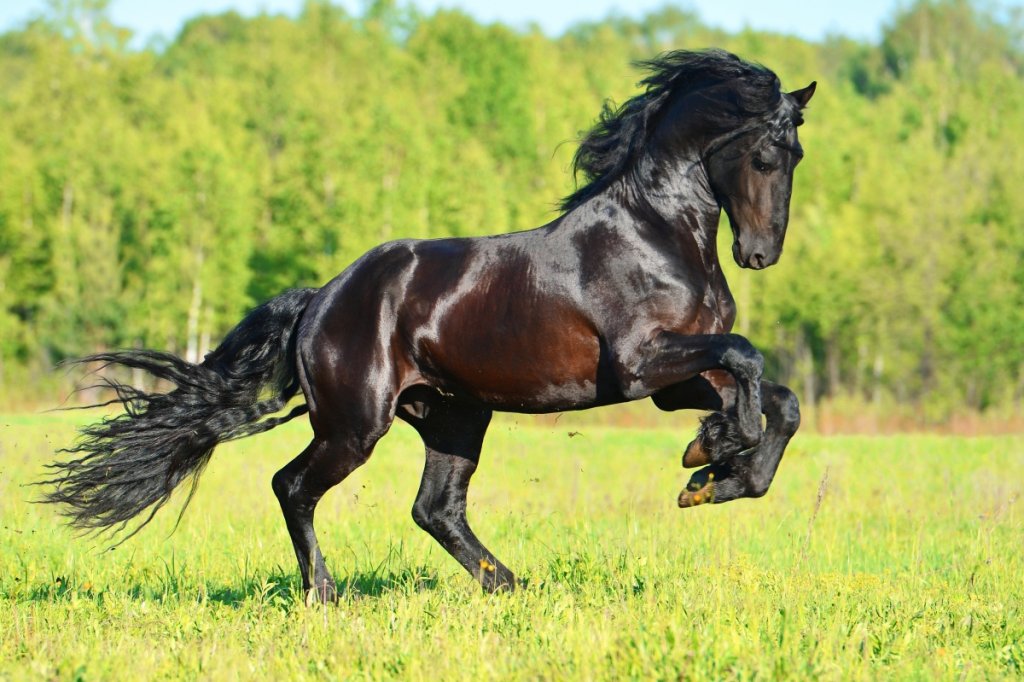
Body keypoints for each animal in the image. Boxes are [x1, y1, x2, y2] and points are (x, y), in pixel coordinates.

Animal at [44, 49, 815, 603]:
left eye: (796, 157)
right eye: (763, 155)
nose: (759, 253)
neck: (657, 232)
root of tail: (321, 299)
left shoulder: (675, 378)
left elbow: (780, 401)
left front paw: (714, 471)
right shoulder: (639, 365)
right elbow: (748, 359)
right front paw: (714, 451)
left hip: (453, 417)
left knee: (434, 508)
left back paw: (507, 584)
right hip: (355, 425)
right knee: (293, 486)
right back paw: (324, 594)